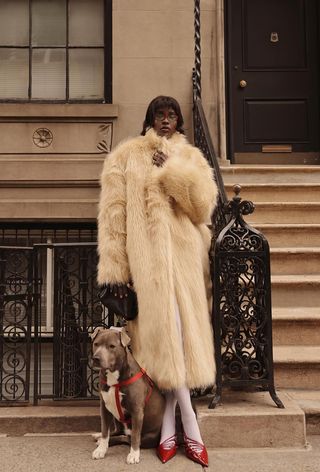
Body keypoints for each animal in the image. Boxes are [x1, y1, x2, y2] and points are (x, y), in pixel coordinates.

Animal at [90, 326, 165, 462]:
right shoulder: (104, 407)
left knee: (128, 438)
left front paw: (134, 454)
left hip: (149, 436)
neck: (113, 375)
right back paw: (99, 437)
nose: (96, 358)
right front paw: (101, 450)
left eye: (112, 346)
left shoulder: (137, 411)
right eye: (96, 344)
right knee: (117, 432)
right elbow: (105, 431)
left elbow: (135, 436)